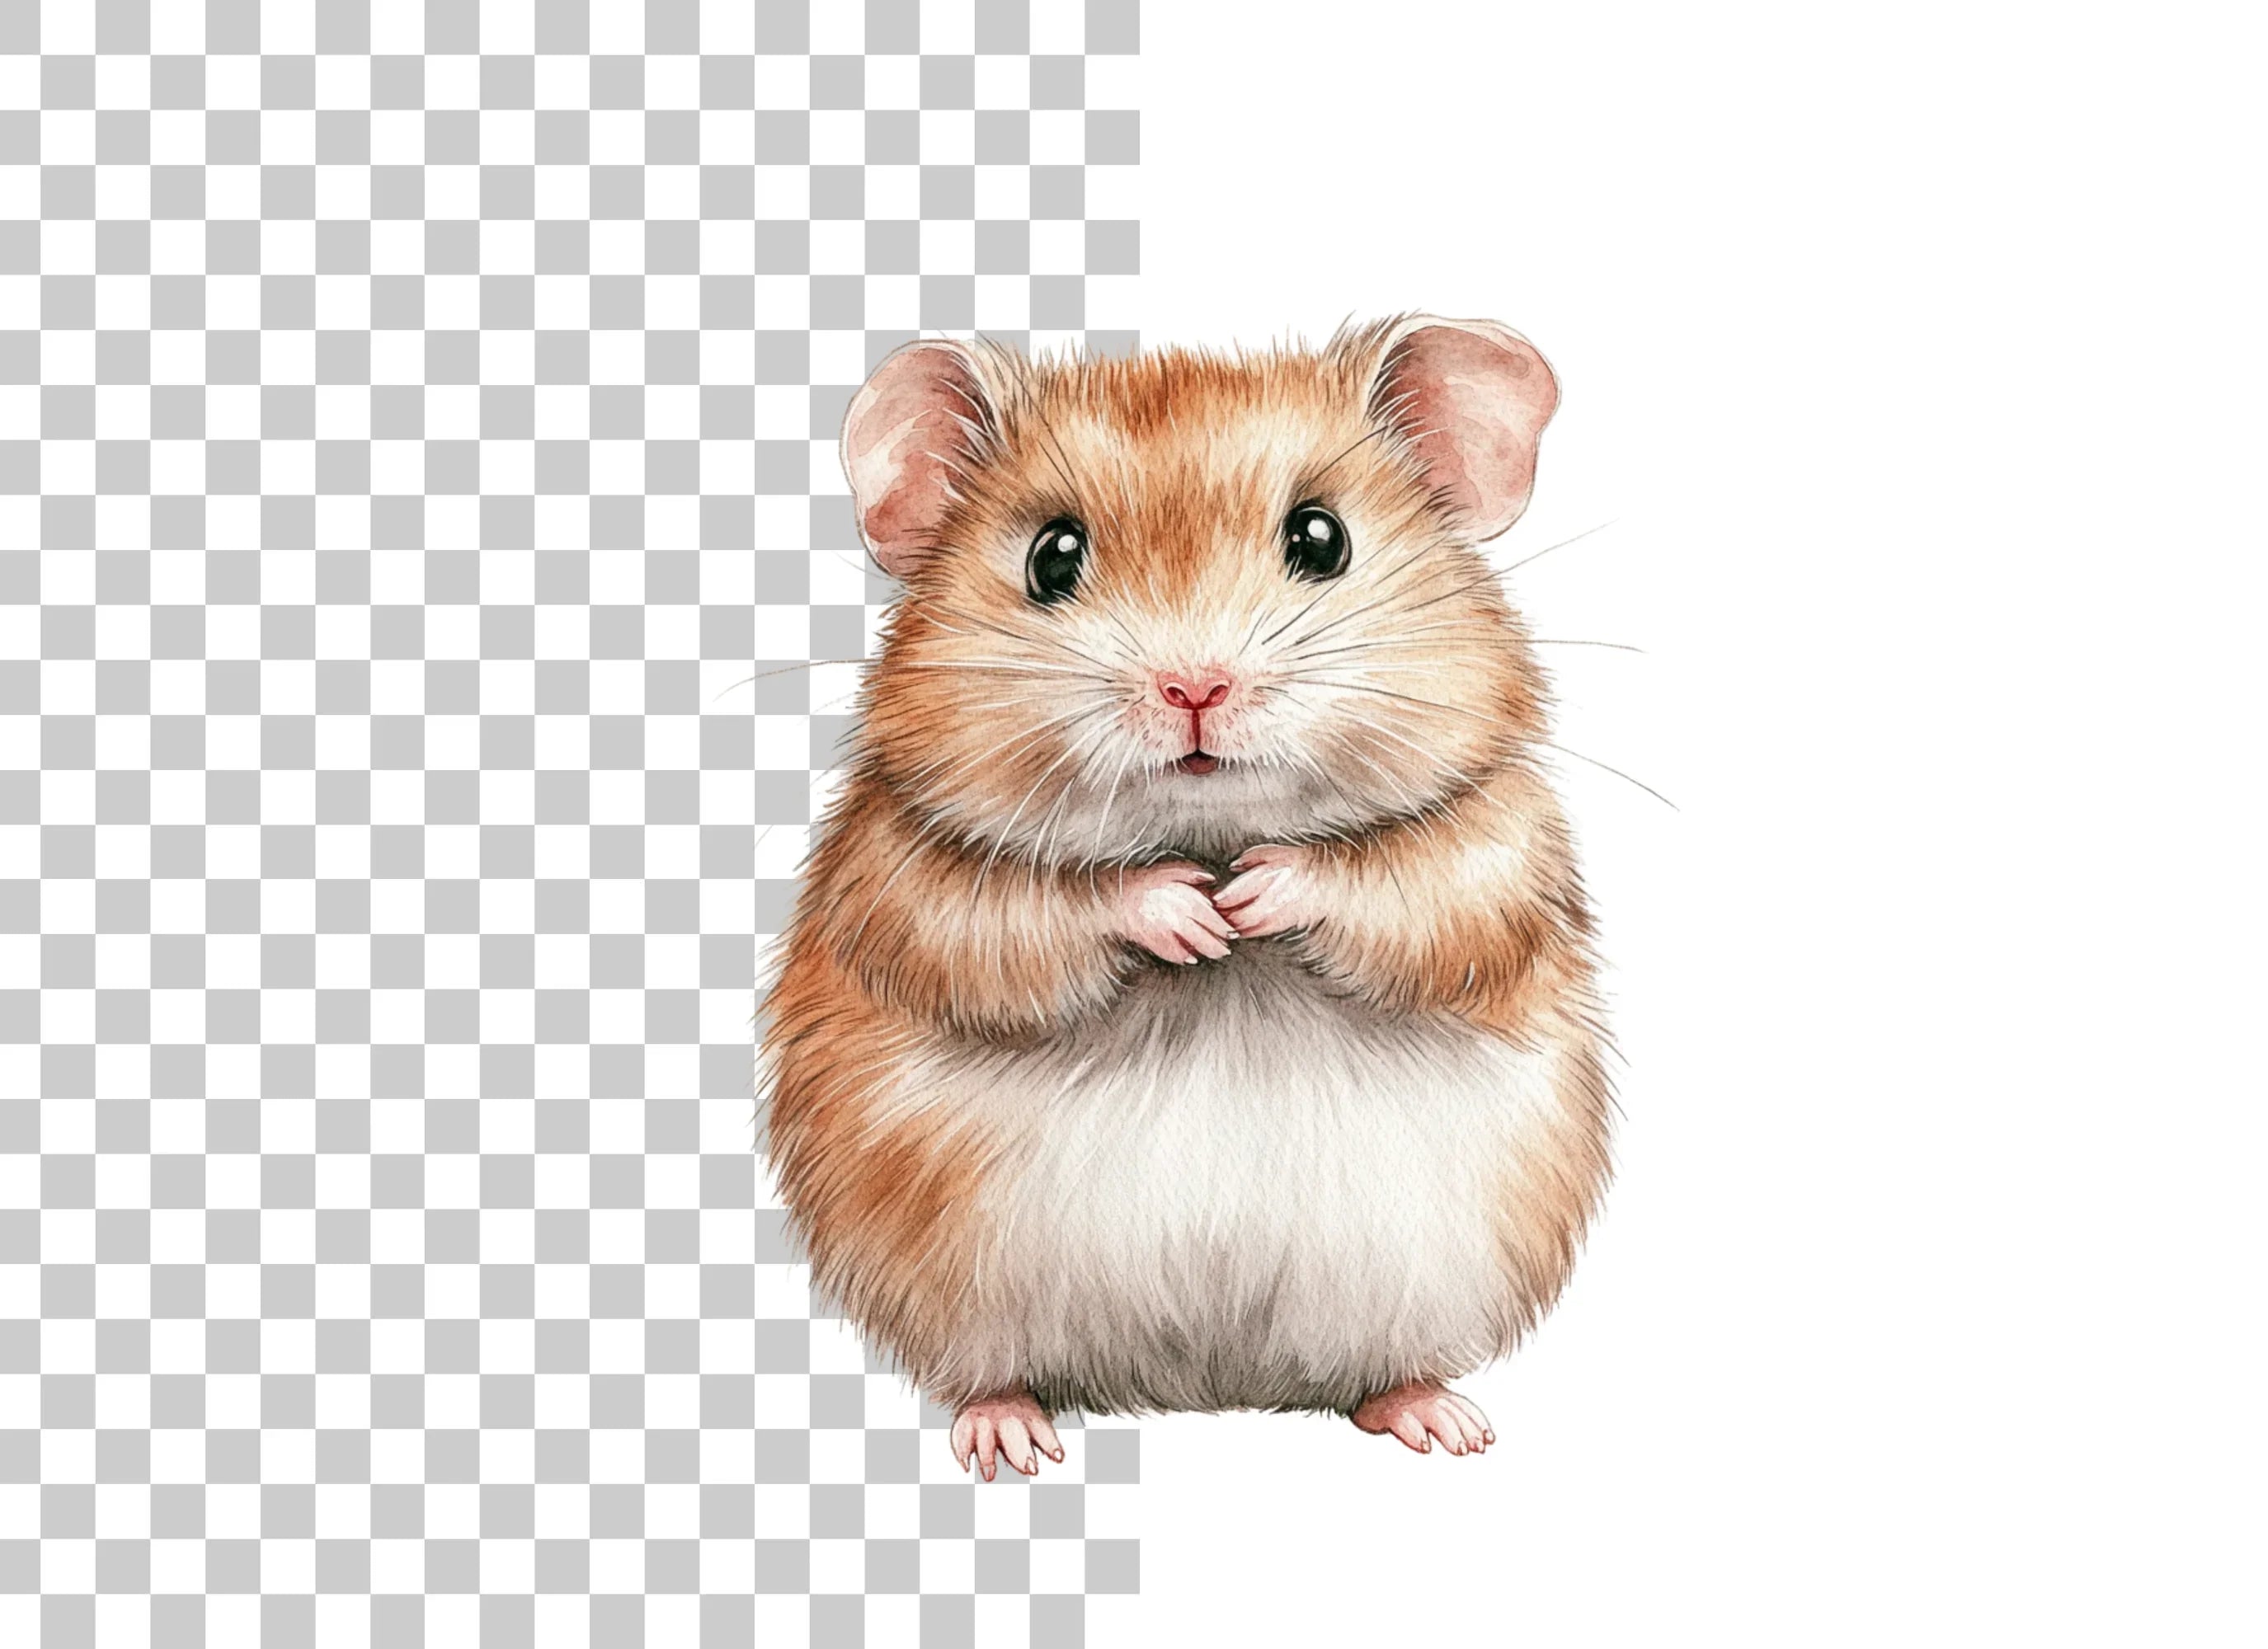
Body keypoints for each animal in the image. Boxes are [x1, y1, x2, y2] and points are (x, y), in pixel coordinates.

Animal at [759, 315, 1612, 1477]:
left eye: (1321, 538)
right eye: (1051, 556)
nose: (1193, 687)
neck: (1205, 831)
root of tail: (1200, 1388)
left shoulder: (1494, 846)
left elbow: (1401, 888)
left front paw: (1252, 899)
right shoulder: (902, 874)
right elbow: (1024, 915)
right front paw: (1191, 915)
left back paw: (1445, 1422)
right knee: (988, 1371)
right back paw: (1008, 1439)